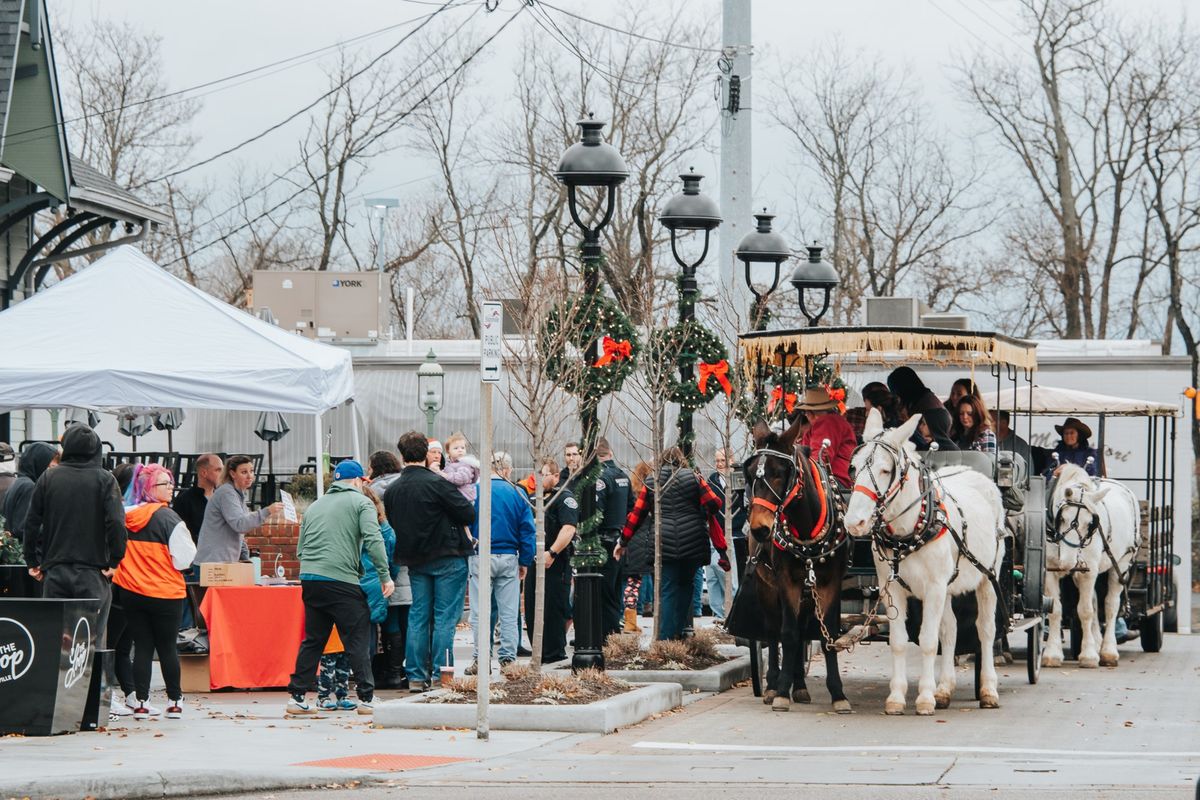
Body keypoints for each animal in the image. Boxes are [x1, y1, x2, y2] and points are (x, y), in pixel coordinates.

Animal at [744, 419, 849, 714]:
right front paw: (780, 692)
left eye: (780, 472)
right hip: (766, 585)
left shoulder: (828, 583)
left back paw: (799, 685)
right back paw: (772, 685)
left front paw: (838, 694)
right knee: (772, 632)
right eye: (749, 474)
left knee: (802, 631)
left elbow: (827, 636)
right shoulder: (785, 582)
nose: (760, 529)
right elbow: (787, 634)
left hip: (806, 592)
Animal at [849, 410, 1008, 714]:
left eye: (885, 470)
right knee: (950, 629)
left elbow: (927, 641)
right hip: (948, 585)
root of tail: (976, 474)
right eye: (854, 467)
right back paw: (944, 689)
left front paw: (924, 697)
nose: (854, 522)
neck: (909, 530)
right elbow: (900, 641)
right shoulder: (893, 588)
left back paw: (989, 690)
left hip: (988, 577)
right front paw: (897, 697)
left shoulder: (934, 587)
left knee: (985, 630)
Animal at [1041, 462, 1142, 671]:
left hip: (1120, 564)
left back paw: (1108, 651)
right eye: (1062, 519)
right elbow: (1056, 610)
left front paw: (1088, 656)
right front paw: (1052, 654)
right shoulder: (1050, 571)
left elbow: (1085, 611)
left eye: (1090, 524)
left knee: (1110, 605)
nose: (1068, 563)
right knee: (1095, 602)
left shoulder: (1087, 572)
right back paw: (1096, 642)